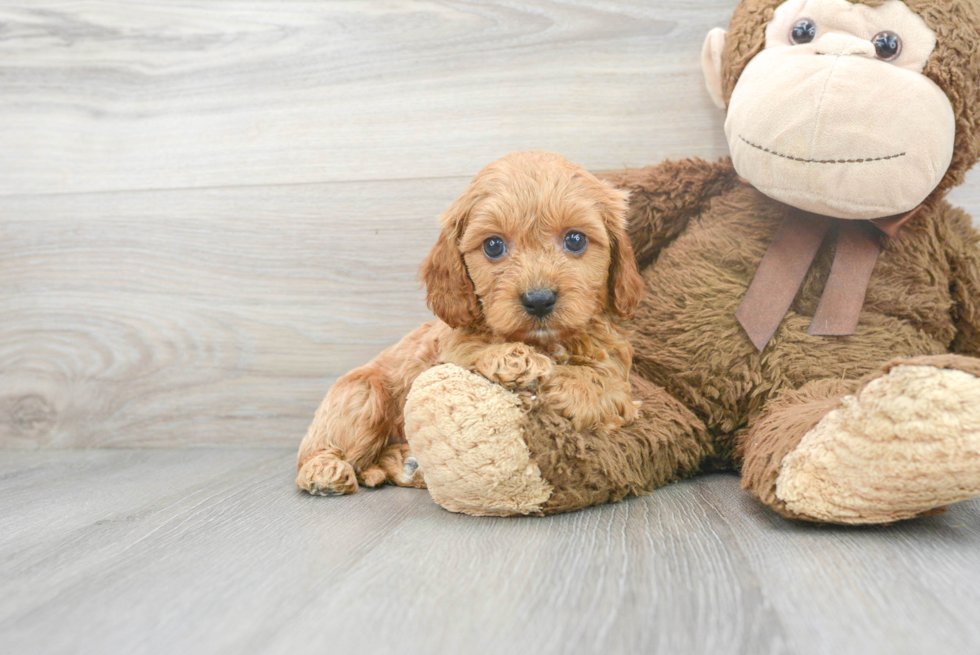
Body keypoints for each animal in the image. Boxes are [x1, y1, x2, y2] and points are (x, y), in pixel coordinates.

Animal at [292, 150, 644, 498]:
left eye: (575, 240)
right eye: (493, 245)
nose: (539, 299)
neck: (542, 341)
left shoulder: (618, 375)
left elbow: (603, 384)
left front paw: (563, 384)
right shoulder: (447, 353)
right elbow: (473, 352)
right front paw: (515, 360)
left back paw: (404, 464)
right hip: (363, 396)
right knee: (322, 450)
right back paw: (325, 471)